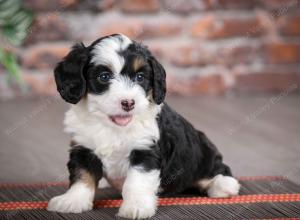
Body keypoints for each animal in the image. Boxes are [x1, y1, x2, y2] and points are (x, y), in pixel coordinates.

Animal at [47, 33, 240, 219]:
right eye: (104, 77)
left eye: (140, 77)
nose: (128, 103)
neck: (113, 126)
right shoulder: (83, 147)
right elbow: (82, 175)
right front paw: (72, 200)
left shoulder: (145, 150)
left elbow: (136, 182)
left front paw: (136, 206)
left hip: (202, 153)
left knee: (215, 170)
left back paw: (224, 184)